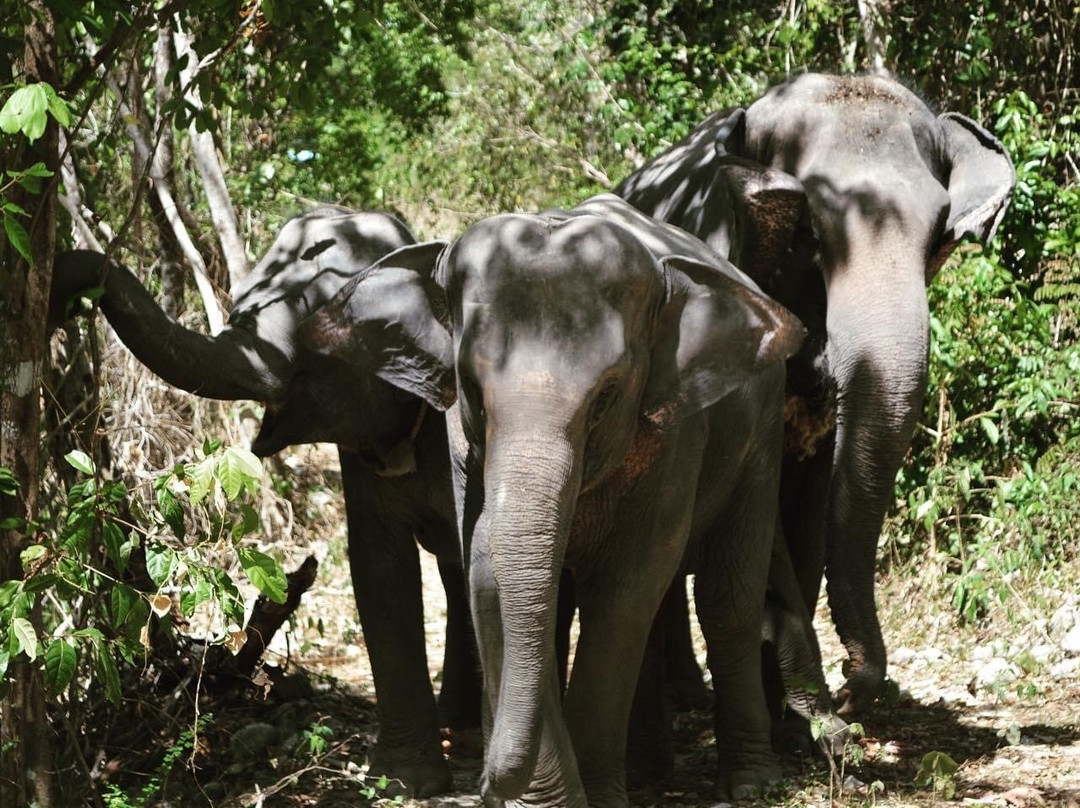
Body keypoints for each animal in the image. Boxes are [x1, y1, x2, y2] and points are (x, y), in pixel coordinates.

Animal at [304, 193, 820, 803]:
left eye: (606, 396)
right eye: (471, 390)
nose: (485, 778)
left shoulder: (674, 432)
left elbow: (625, 586)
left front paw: (587, 796)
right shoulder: (460, 449)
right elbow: (488, 576)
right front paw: (539, 796)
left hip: (761, 440)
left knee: (726, 597)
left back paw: (748, 783)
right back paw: (647, 772)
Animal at [617, 72, 1017, 715]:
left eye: (937, 229)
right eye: (807, 230)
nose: (854, 686)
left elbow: (810, 505)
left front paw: (807, 708)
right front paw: (809, 711)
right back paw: (681, 698)